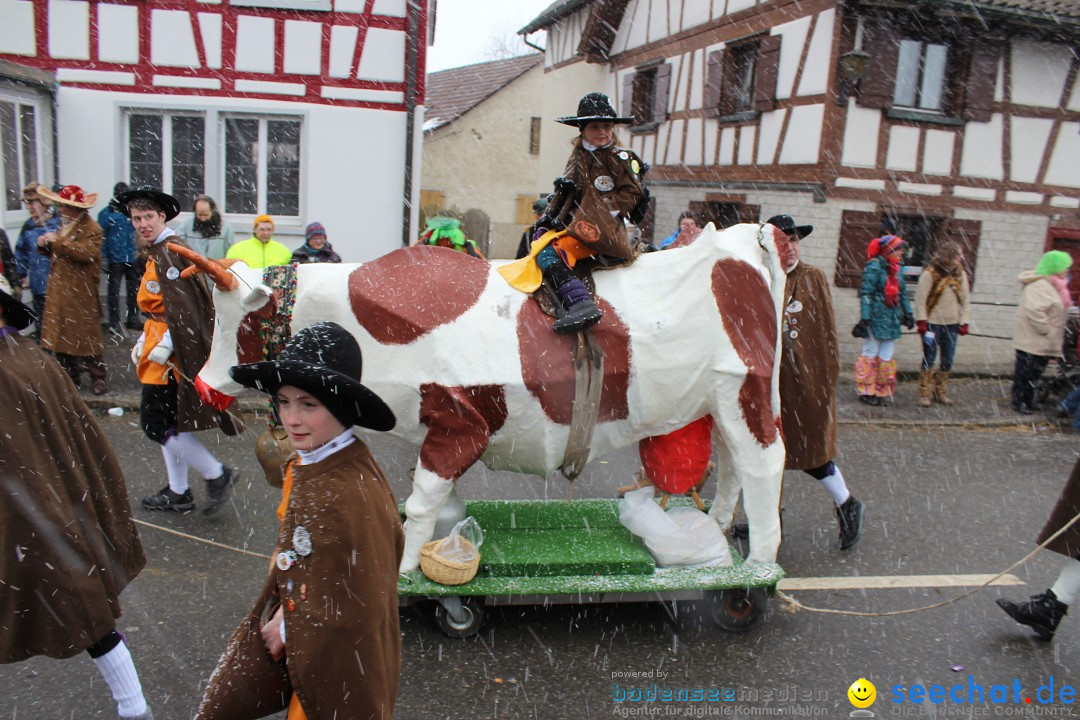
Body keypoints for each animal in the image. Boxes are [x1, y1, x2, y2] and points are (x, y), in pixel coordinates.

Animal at [187, 222, 786, 569]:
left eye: (238, 321)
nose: (201, 385)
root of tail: (746, 237)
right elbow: (433, 497)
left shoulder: (462, 422)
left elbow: (421, 500)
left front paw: (406, 573)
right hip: (720, 400)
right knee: (733, 464)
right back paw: (716, 532)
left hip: (745, 391)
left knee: (763, 464)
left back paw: (758, 565)